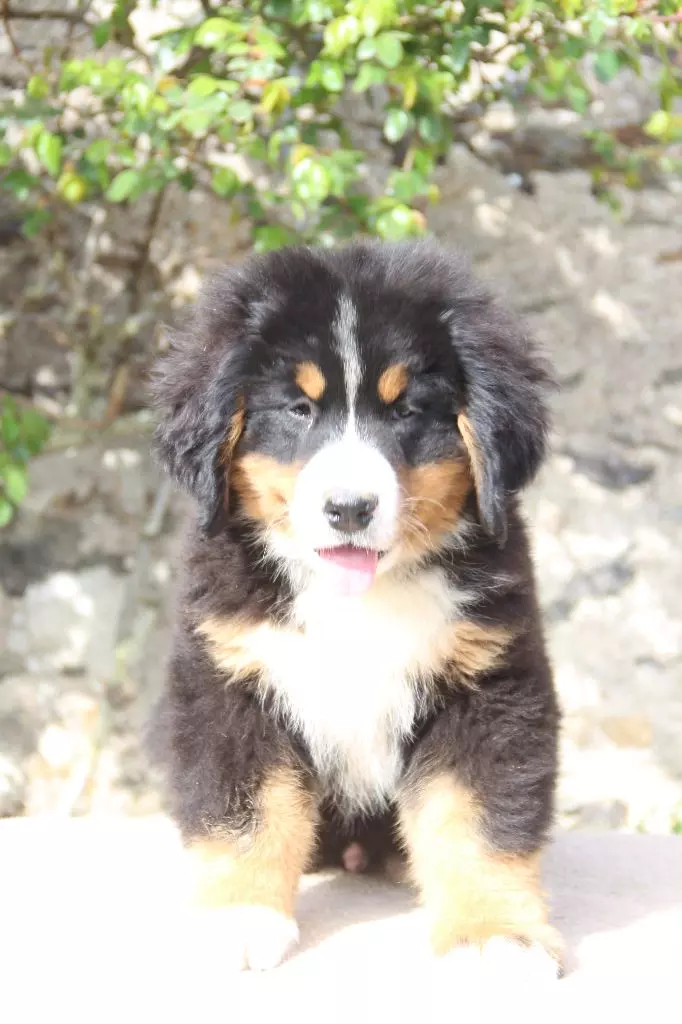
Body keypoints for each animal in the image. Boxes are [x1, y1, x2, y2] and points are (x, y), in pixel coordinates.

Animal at [151, 237, 561, 974]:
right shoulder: (233, 681)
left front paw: (495, 933)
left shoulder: (490, 686)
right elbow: (244, 810)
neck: (360, 600)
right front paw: (238, 916)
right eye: (298, 410)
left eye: (406, 412)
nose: (349, 508)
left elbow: (478, 819)